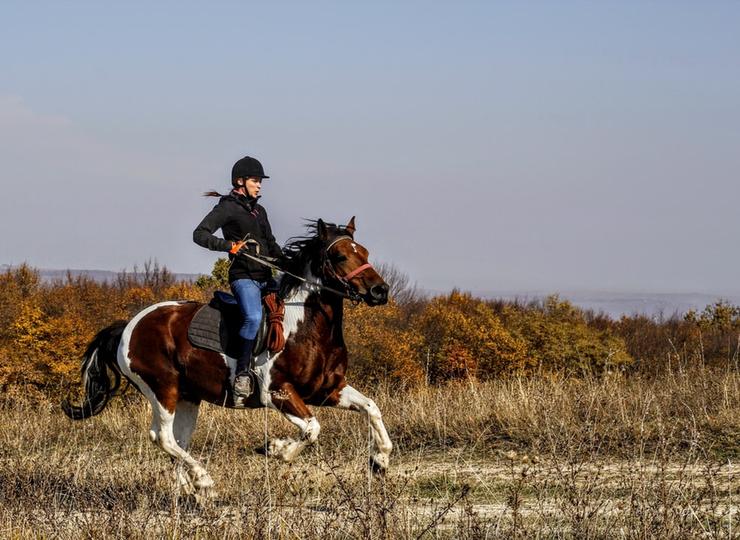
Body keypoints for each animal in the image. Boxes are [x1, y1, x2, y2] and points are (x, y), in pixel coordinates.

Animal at [62, 217, 394, 496]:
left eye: (364, 252)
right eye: (339, 256)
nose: (380, 291)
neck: (305, 325)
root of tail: (129, 326)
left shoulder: (328, 389)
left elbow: (371, 408)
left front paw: (379, 460)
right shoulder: (278, 392)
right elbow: (312, 429)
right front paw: (276, 449)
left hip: (188, 396)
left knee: (177, 441)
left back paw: (190, 490)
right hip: (162, 388)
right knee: (163, 437)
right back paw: (204, 481)